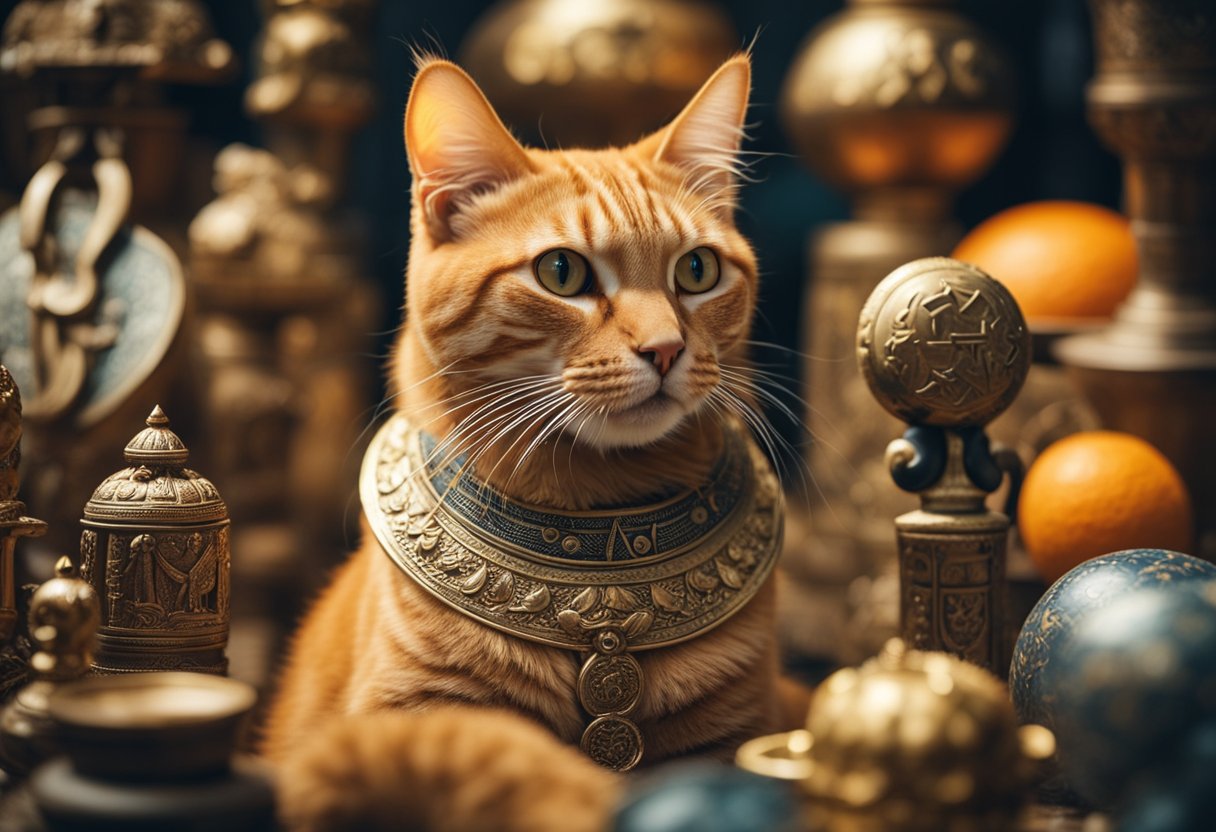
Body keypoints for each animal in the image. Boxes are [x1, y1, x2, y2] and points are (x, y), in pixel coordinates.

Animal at [261, 53, 802, 832]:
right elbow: (491, 746)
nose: (666, 348)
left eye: (697, 270)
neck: (603, 524)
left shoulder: (745, 725)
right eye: (561, 272)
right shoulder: (400, 712)